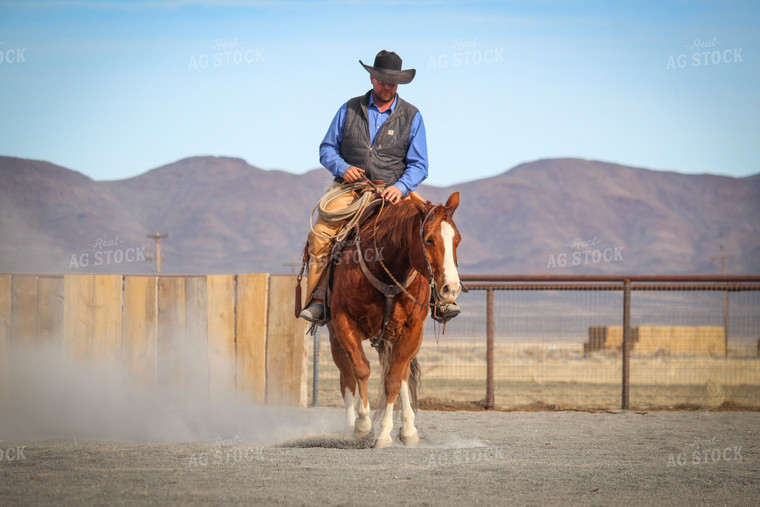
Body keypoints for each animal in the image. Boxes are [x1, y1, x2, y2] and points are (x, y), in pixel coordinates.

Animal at [328, 190, 464, 448]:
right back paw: (350, 427)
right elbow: (360, 369)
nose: (451, 289)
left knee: (400, 375)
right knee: (346, 375)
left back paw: (409, 430)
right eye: (429, 239)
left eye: (457, 240)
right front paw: (363, 426)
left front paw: (384, 434)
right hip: (335, 335)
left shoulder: (412, 331)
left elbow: (393, 379)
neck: (386, 273)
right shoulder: (344, 323)